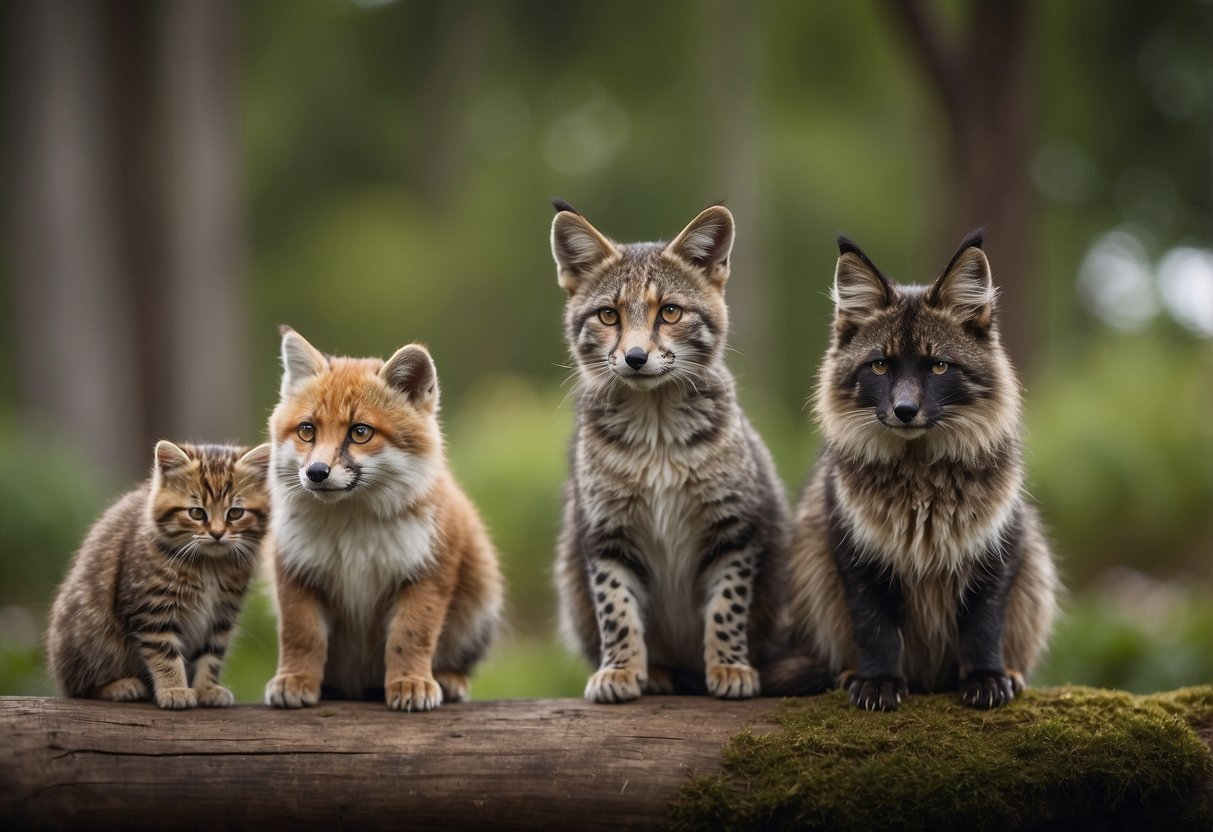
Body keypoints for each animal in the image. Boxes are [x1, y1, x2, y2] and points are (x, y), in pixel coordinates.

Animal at [47, 443, 270, 708]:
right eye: (196, 513)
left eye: (235, 513)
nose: (217, 534)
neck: (209, 565)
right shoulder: (151, 609)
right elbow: (165, 654)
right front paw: (174, 690)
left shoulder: (221, 614)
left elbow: (211, 653)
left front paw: (206, 689)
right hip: (92, 638)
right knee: (80, 687)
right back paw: (121, 686)